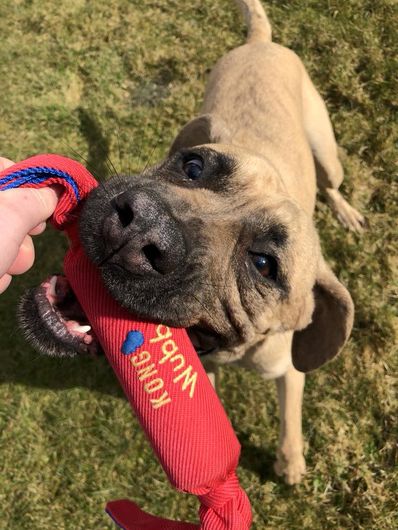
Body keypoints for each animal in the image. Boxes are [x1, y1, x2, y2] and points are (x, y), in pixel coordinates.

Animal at [19, 0, 364, 482]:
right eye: (194, 166)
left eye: (264, 265)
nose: (139, 228)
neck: (235, 353)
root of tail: (261, 42)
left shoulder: (289, 371)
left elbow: (290, 415)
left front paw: (291, 459)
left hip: (327, 152)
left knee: (332, 183)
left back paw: (345, 210)